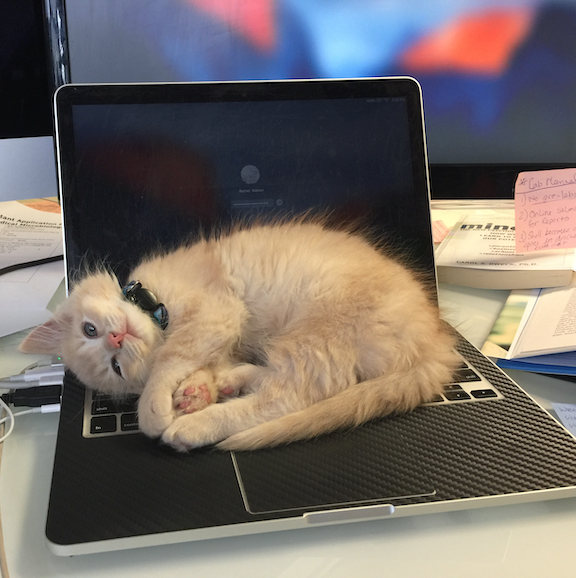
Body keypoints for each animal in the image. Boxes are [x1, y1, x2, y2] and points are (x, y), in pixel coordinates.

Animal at [19, 218, 460, 448]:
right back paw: (233, 382)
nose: (116, 339)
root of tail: (436, 342)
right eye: (115, 367)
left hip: (319, 327)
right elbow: (192, 362)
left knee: (287, 398)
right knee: (285, 386)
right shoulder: (217, 332)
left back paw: (195, 427)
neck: (157, 305)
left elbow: (170, 358)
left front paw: (154, 408)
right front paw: (196, 391)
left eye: (90, 329)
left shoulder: (216, 311)